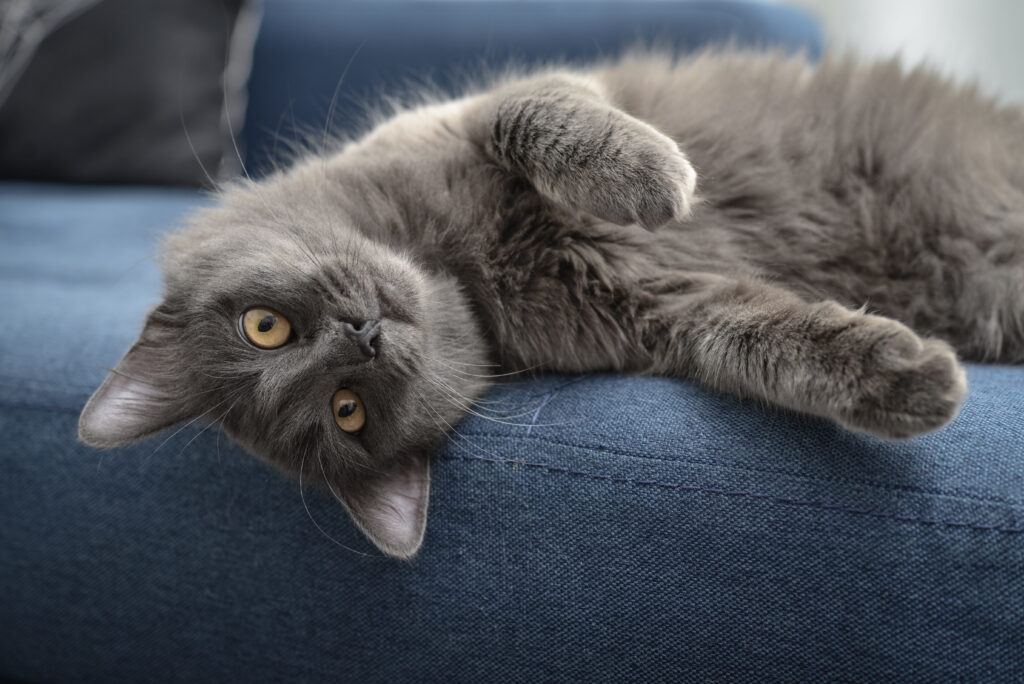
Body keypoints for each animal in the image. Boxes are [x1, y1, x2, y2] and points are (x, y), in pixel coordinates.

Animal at [79, 50, 1024, 557]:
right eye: (347, 411)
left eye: (263, 328)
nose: (362, 337)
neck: (469, 265)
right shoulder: (657, 313)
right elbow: (762, 341)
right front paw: (910, 379)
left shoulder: (486, 110)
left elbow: (534, 117)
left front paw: (654, 177)